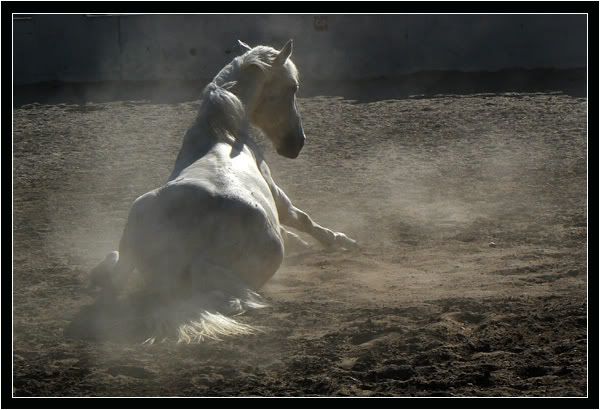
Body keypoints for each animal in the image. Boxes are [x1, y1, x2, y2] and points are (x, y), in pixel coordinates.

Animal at [88, 41, 356, 342]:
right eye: (293, 87)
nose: (296, 143)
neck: (221, 133)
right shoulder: (276, 193)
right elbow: (301, 219)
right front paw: (339, 240)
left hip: (135, 223)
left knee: (116, 279)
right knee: (231, 301)